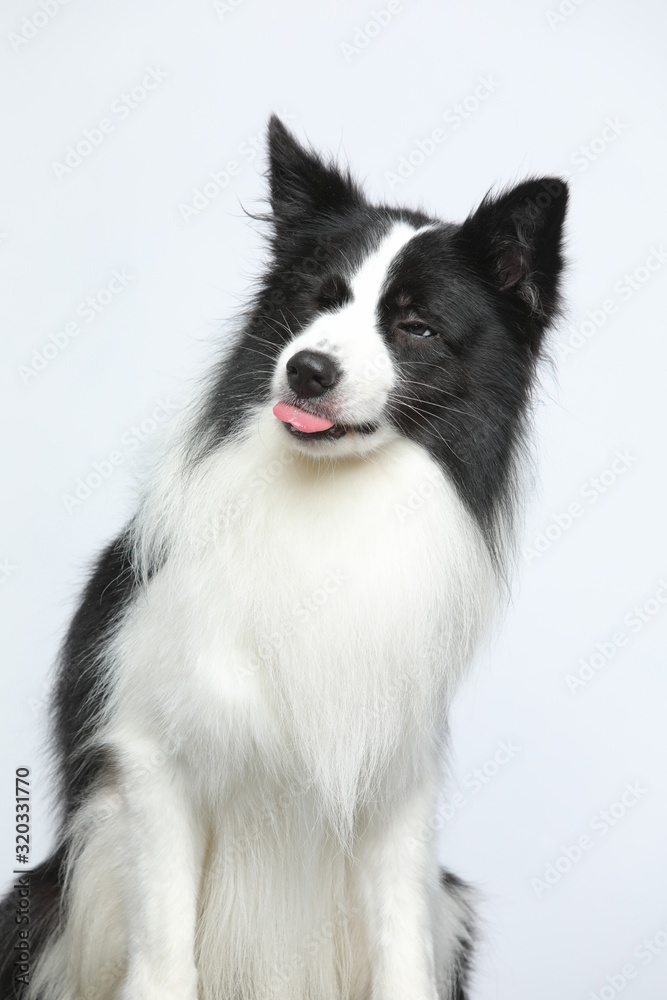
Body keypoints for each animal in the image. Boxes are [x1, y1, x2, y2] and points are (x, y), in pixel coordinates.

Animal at [1, 113, 568, 996]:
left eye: (415, 326)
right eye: (316, 299)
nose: (306, 369)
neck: (327, 503)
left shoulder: (394, 786)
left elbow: (401, 952)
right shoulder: (155, 761)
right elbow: (167, 954)